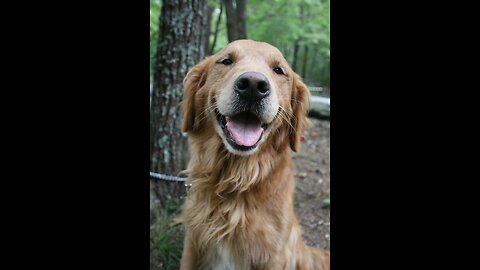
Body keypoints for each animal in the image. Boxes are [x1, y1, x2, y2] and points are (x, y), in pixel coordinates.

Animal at [178, 39, 328, 268]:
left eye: (278, 70)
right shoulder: (192, 246)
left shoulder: (274, 256)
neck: (236, 180)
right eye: (227, 61)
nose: (253, 86)